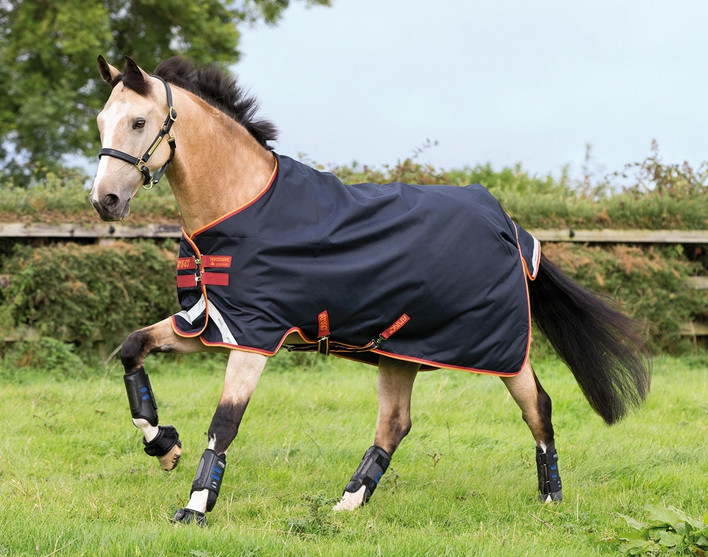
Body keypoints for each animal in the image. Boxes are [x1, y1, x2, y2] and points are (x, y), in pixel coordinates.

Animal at [90, 55, 651, 525]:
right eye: (100, 121)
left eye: (138, 122)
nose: (105, 200)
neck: (241, 204)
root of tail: (509, 225)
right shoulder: (208, 322)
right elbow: (132, 348)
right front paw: (163, 446)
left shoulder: (253, 334)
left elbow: (225, 422)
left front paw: (195, 507)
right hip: (403, 348)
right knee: (395, 424)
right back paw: (347, 503)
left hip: (500, 349)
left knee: (538, 406)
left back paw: (551, 499)